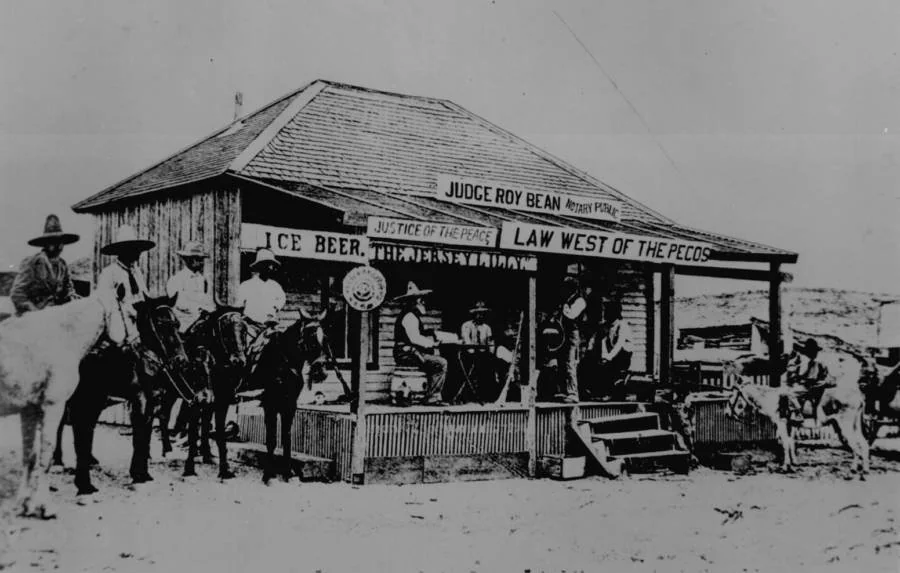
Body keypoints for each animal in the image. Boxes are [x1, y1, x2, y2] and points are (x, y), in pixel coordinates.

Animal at [0, 294, 139, 520]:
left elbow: (29, 456)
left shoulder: (29, 410)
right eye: (133, 316)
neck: (61, 338)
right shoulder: (52, 406)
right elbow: (46, 456)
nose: (137, 351)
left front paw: (24, 504)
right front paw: (45, 507)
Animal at [64, 298, 190, 494]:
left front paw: (142, 473)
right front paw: (138, 474)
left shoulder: (151, 402)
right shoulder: (139, 401)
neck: (142, 363)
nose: (181, 360)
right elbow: (138, 436)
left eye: (177, 324)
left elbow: (144, 434)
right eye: (160, 324)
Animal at [156, 304, 246, 478]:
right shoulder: (195, 402)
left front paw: (223, 468)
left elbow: (216, 432)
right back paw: (166, 450)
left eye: (244, 329)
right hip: (170, 392)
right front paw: (189, 468)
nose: (239, 361)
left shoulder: (220, 403)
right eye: (225, 328)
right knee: (164, 415)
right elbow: (192, 433)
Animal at [244, 310, 328, 484]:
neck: (284, 363)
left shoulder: (289, 405)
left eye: (325, 337)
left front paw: (287, 473)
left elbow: (286, 438)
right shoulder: (269, 405)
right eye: (311, 336)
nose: (320, 372)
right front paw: (267, 474)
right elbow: (271, 439)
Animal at [724, 348, 872, 478]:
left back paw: (856, 469)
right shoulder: (790, 425)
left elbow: (785, 443)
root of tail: (858, 396)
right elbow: (790, 442)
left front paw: (785, 467)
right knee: (863, 443)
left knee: (856, 444)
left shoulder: (782, 423)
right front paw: (792, 464)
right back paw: (863, 469)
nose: (726, 413)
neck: (771, 398)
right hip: (855, 425)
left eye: (733, 393)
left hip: (845, 425)